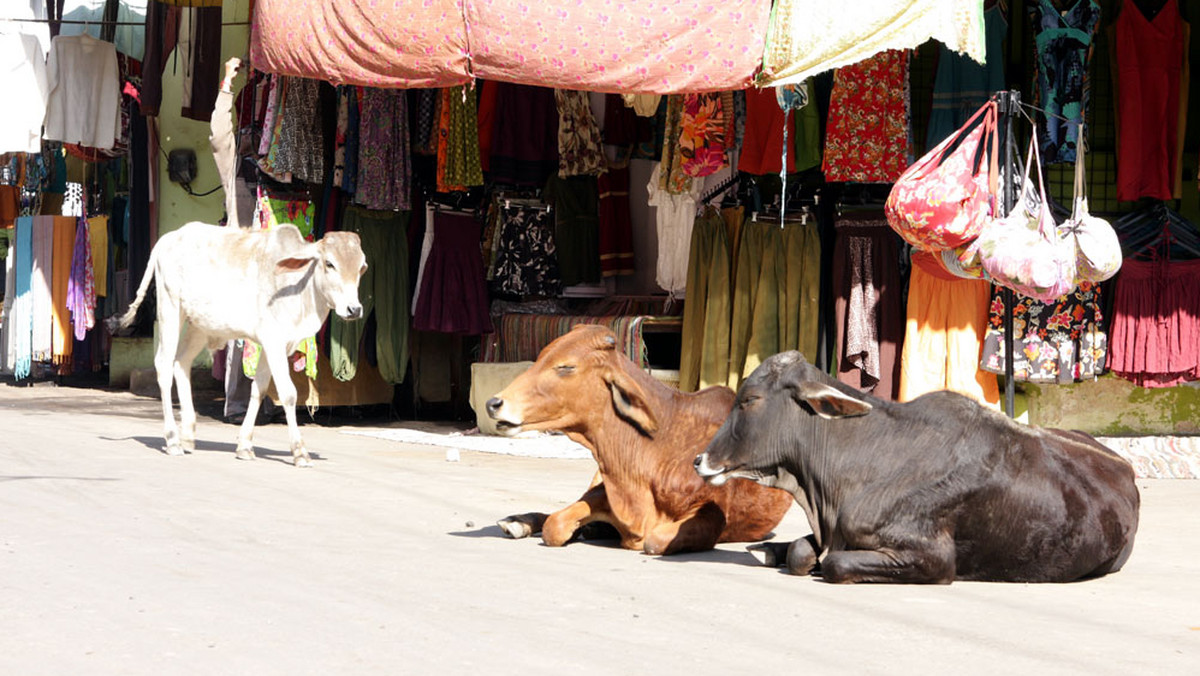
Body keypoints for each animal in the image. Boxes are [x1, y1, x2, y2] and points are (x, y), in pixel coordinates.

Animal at [112, 222, 364, 465]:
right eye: (330, 263)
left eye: (362, 267)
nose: (354, 309)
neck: (299, 286)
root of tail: (169, 237)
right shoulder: (274, 342)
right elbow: (288, 394)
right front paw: (300, 452)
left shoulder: (271, 345)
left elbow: (258, 390)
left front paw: (245, 445)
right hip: (171, 310)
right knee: (164, 365)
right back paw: (173, 439)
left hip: (199, 326)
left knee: (181, 363)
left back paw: (188, 435)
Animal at [482, 326, 792, 554]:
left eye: (566, 367)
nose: (493, 403)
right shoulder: (605, 489)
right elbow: (555, 524)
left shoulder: (712, 514)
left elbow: (654, 541)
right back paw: (518, 522)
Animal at [691, 353, 1137, 583]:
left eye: (749, 399)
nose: (699, 460)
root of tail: (1127, 470)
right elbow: (803, 551)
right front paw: (780, 550)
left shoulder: (933, 559)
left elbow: (833, 564)